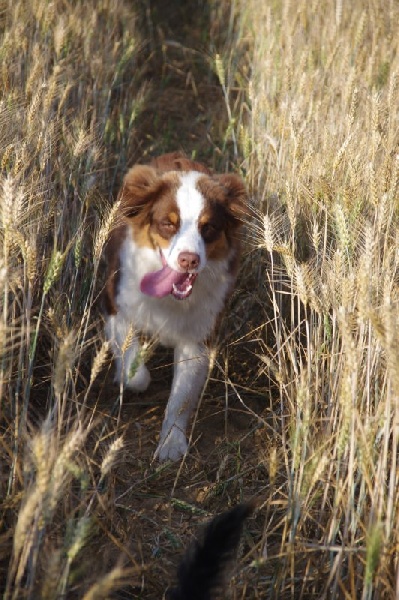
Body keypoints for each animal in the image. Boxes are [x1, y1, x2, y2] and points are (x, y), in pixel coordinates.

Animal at [104, 152, 247, 462]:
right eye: (168, 224)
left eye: (209, 227)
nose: (189, 260)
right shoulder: (117, 307)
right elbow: (135, 372)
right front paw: (126, 375)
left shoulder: (198, 337)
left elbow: (180, 398)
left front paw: (171, 444)